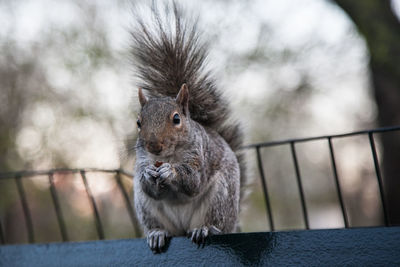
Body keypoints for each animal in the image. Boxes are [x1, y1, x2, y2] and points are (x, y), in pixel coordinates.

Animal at [131, 2, 245, 254]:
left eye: (176, 119)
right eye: (138, 122)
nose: (153, 145)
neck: (168, 155)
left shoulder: (198, 156)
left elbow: (193, 182)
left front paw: (170, 172)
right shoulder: (142, 160)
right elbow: (148, 185)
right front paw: (149, 173)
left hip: (220, 197)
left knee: (214, 221)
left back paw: (204, 229)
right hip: (146, 207)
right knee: (158, 222)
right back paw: (157, 234)